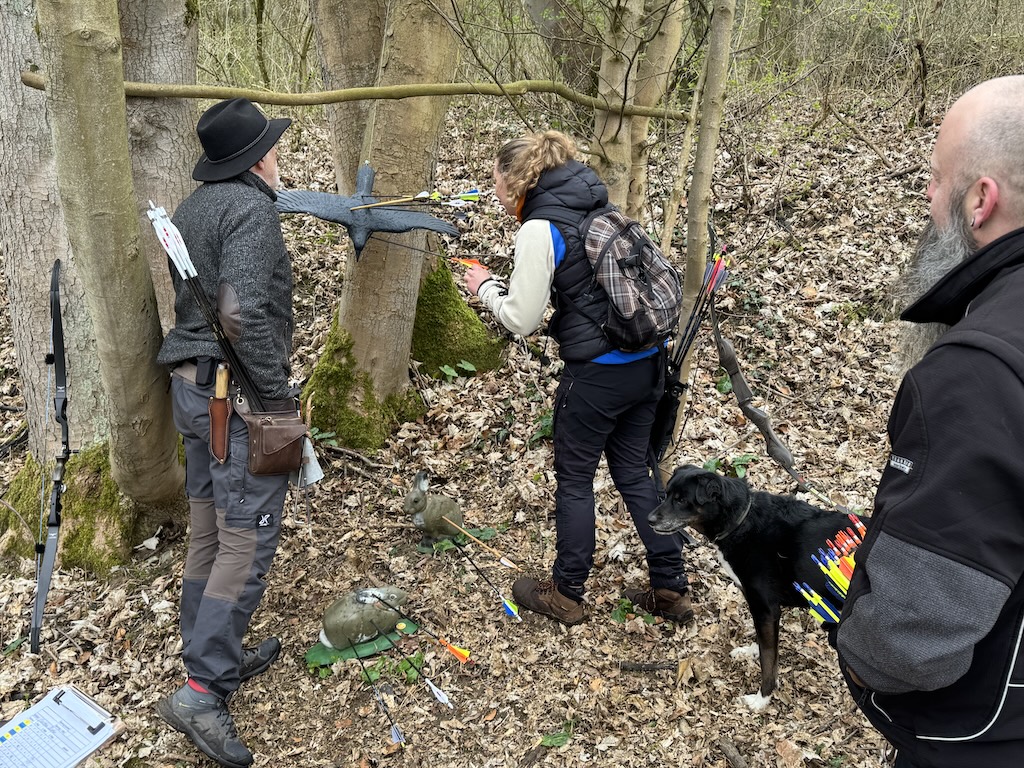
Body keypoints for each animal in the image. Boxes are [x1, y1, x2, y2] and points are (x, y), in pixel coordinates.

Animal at [649, 464, 869, 710]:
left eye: (681, 500)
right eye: (667, 495)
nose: (649, 520)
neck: (741, 521)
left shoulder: (766, 608)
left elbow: (768, 659)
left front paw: (762, 697)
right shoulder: (759, 607)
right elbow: (764, 644)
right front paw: (751, 651)